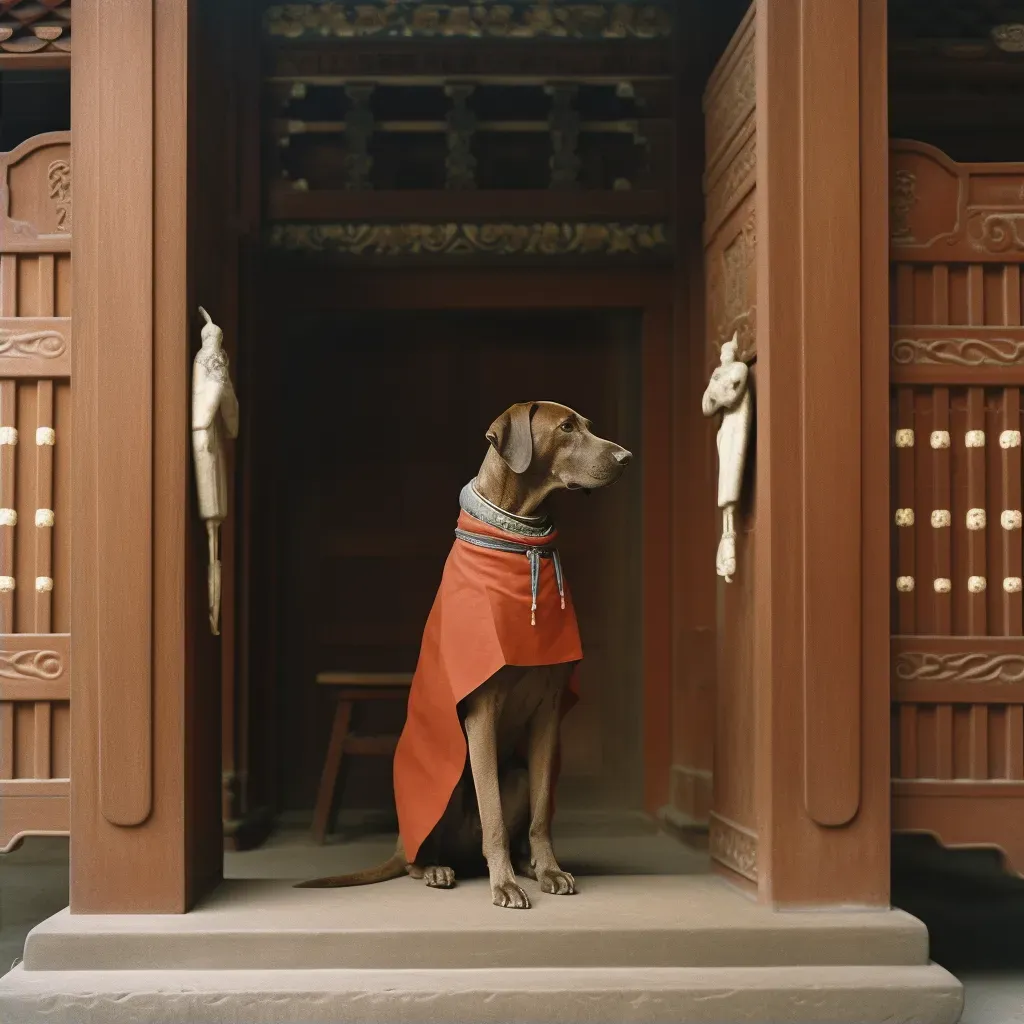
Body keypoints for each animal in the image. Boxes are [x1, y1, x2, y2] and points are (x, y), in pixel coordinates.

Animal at [296, 403, 630, 909]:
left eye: (587, 425)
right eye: (566, 428)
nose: (626, 457)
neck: (520, 543)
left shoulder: (549, 713)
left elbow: (541, 814)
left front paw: (549, 869)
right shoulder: (482, 709)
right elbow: (490, 810)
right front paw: (504, 884)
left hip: (516, 773)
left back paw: (526, 866)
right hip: (448, 781)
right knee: (417, 858)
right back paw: (438, 868)